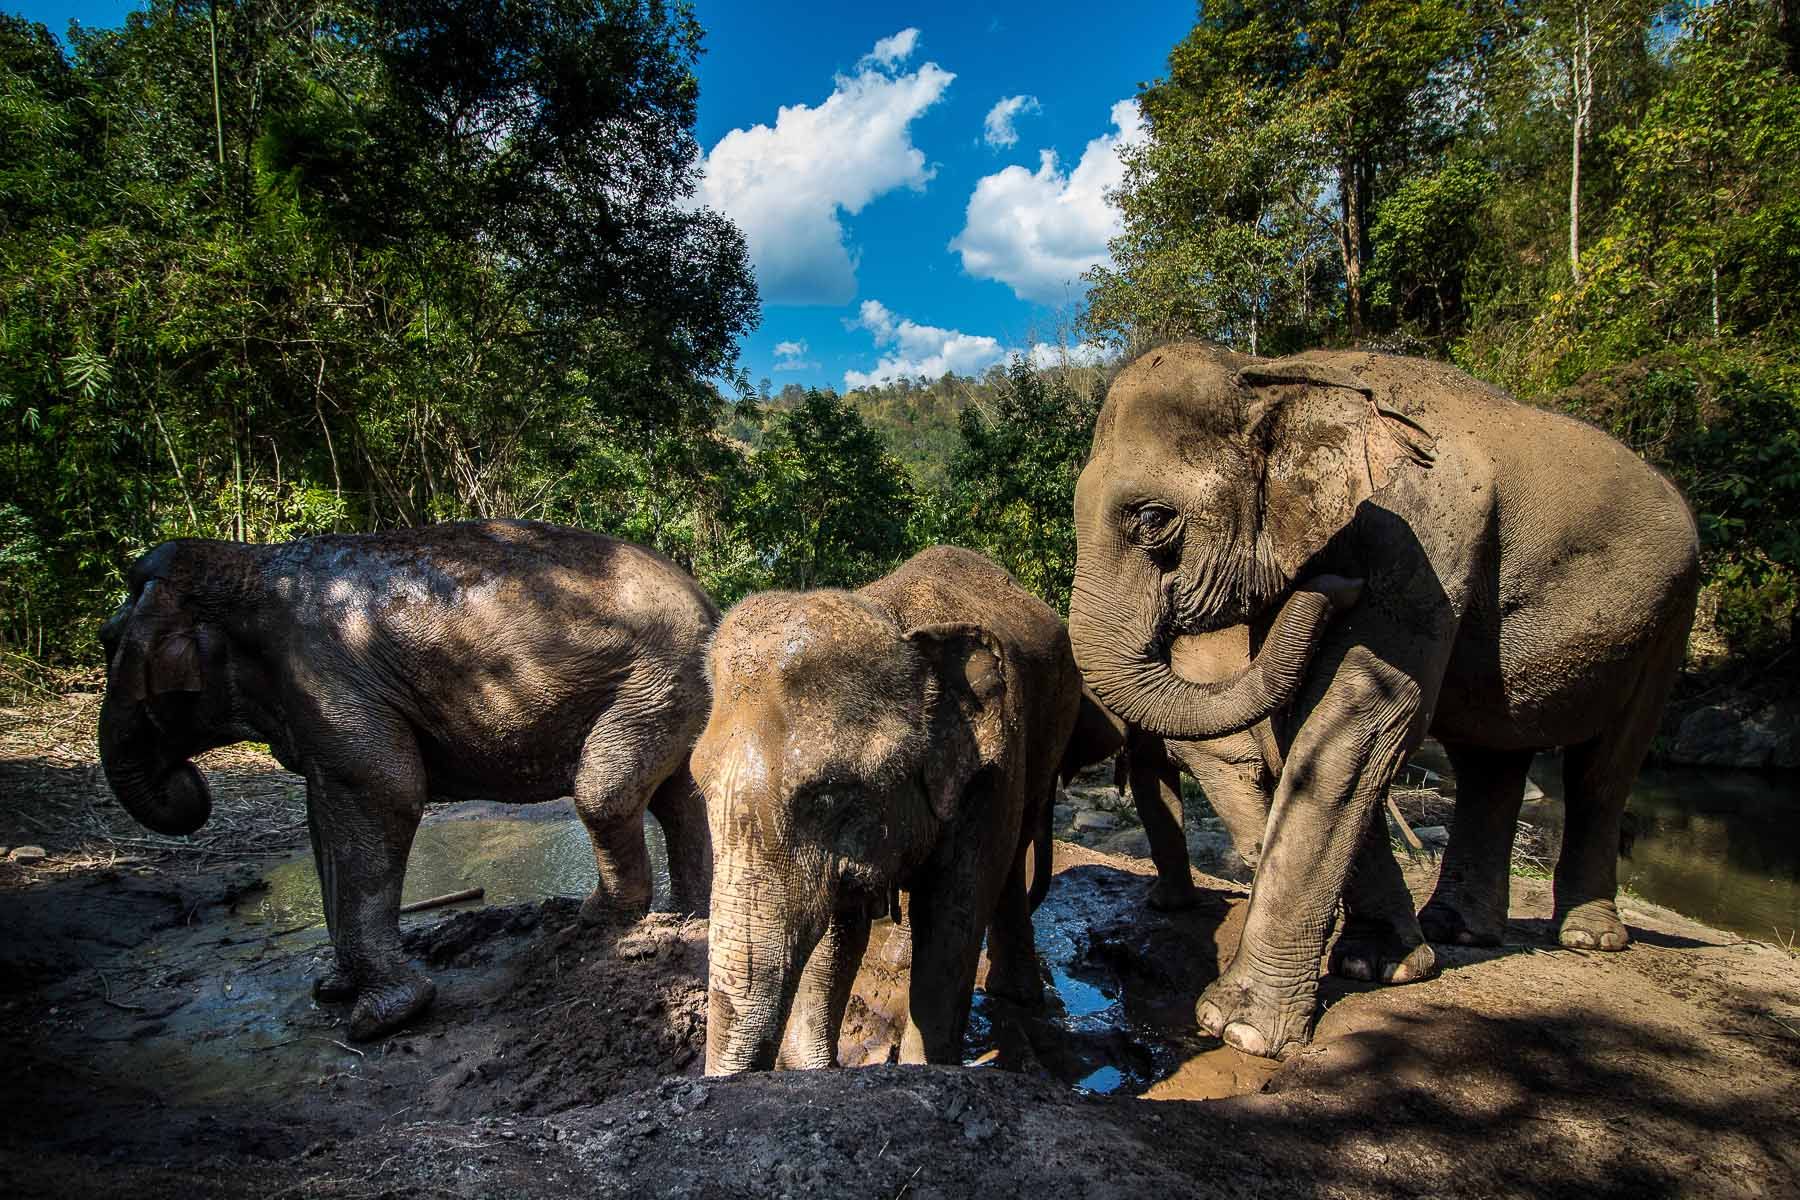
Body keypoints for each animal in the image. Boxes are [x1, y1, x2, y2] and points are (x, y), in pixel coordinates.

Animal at [97, 519, 717, 1040]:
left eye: (107, 645)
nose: (189, 783)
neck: (246, 567)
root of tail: (707, 602)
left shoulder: (327, 683)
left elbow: (387, 792)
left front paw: (378, 1020)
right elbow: (324, 820)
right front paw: (332, 990)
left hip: (650, 685)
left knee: (604, 795)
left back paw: (599, 920)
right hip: (672, 694)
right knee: (675, 798)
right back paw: (685, 917)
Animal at [695, 546, 1084, 1074]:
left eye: (828, 795)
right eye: (698, 785)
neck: (890, 614)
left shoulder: (994, 766)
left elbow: (952, 915)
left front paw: (927, 1069)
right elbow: (839, 927)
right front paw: (815, 1068)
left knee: (1011, 858)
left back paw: (1017, 997)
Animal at [1069, 343, 1700, 1058]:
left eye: (1153, 519)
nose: (1336, 585)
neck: (1278, 376)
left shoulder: (1421, 536)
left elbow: (1360, 716)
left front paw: (1238, 1027)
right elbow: (1302, 725)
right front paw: (1382, 966)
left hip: (1669, 617)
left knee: (1604, 767)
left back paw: (1587, 937)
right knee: (1490, 759)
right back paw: (1459, 930)